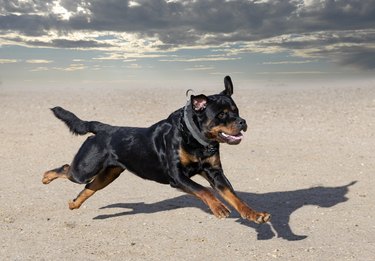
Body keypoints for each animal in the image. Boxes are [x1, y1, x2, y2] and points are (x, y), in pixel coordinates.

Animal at [43, 75, 270, 223]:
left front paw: (254, 214)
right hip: (85, 168)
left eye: (236, 111)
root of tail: (103, 128)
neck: (196, 139)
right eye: (221, 115)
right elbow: (203, 190)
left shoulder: (215, 173)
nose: (242, 122)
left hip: (108, 174)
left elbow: (234, 196)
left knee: (89, 188)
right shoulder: (176, 176)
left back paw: (74, 204)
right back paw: (46, 177)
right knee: (67, 169)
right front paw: (219, 207)